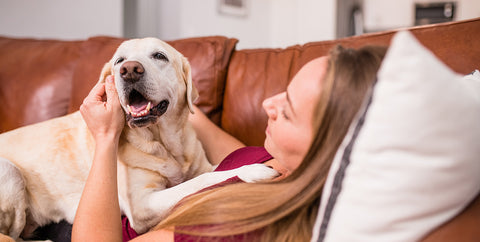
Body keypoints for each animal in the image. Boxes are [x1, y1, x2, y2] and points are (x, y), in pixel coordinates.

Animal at [0, 37, 278, 240]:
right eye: (119, 61)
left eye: (159, 56)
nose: (130, 70)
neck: (164, 145)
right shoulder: (143, 205)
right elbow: (201, 181)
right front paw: (251, 171)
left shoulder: (203, 165)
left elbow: (210, 172)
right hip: (11, 172)